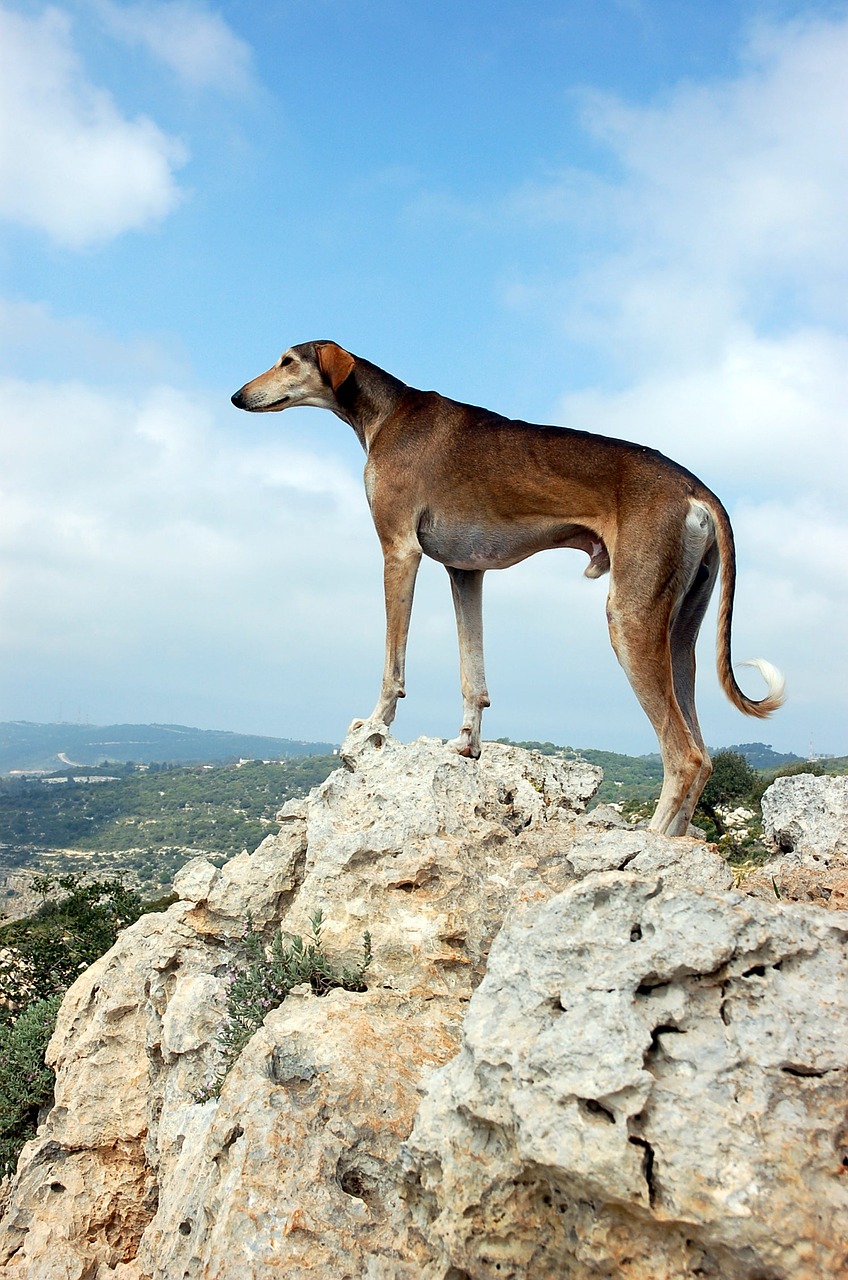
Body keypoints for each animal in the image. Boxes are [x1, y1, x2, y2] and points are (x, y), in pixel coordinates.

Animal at [230, 345, 783, 834]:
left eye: (288, 360)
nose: (237, 396)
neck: (387, 413)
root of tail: (694, 487)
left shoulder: (399, 551)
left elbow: (392, 663)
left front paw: (375, 726)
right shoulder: (465, 572)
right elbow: (472, 675)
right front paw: (467, 745)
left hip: (630, 619)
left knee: (683, 755)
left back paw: (649, 843)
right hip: (680, 633)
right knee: (704, 754)